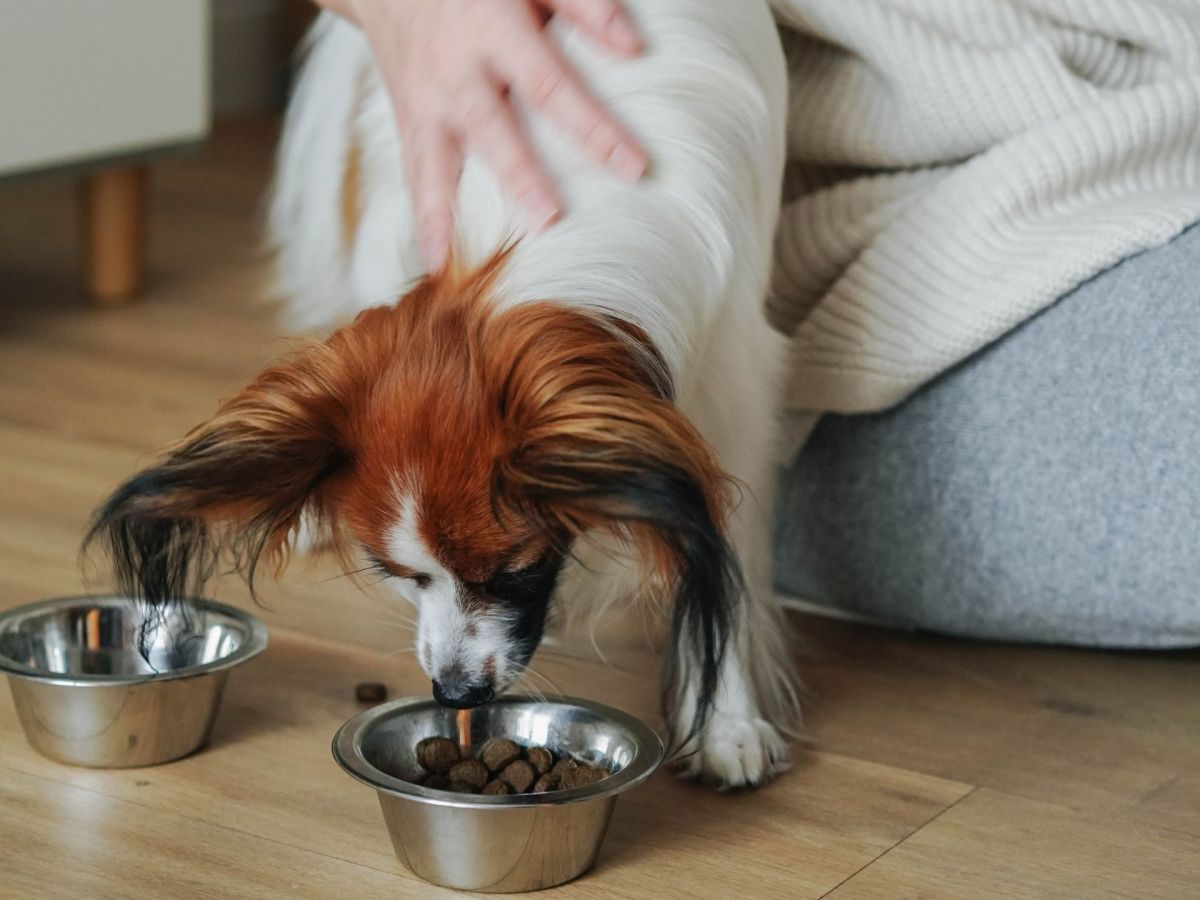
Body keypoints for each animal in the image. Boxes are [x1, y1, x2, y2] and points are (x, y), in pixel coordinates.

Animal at [91, 0, 796, 787]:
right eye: (395, 572)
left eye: (515, 570)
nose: (455, 694)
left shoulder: (732, 387)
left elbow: (721, 558)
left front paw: (725, 719)